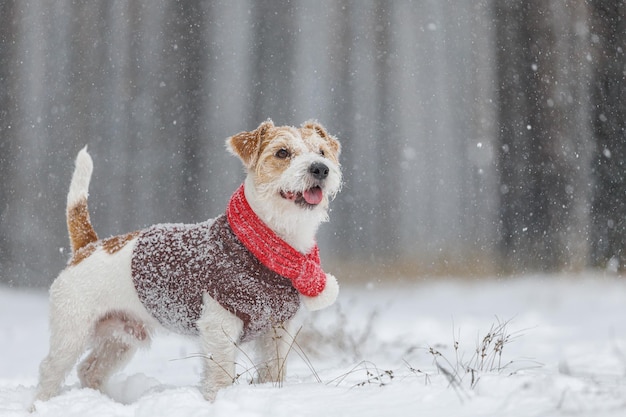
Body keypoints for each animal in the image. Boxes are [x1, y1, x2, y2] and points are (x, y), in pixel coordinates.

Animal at [34, 119, 342, 404]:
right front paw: (218, 400)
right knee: (51, 370)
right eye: (282, 152)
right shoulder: (219, 326)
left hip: (120, 337)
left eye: (322, 151)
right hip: (72, 331)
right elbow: (220, 376)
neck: (267, 243)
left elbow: (274, 371)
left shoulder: (277, 329)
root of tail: (88, 246)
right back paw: (43, 403)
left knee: (89, 369)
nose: (320, 168)